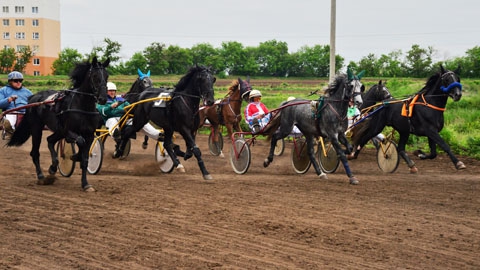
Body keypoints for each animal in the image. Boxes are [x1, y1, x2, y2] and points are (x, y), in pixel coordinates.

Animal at [7, 56, 109, 191]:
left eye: (107, 76)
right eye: (95, 76)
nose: (103, 98)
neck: (82, 107)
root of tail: (33, 98)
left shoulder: (89, 134)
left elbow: (85, 158)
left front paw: (85, 184)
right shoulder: (68, 131)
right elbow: (80, 141)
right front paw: (75, 156)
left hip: (58, 131)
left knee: (50, 140)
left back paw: (53, 167)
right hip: (37, 129)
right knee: (35, 152)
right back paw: (41, 176)